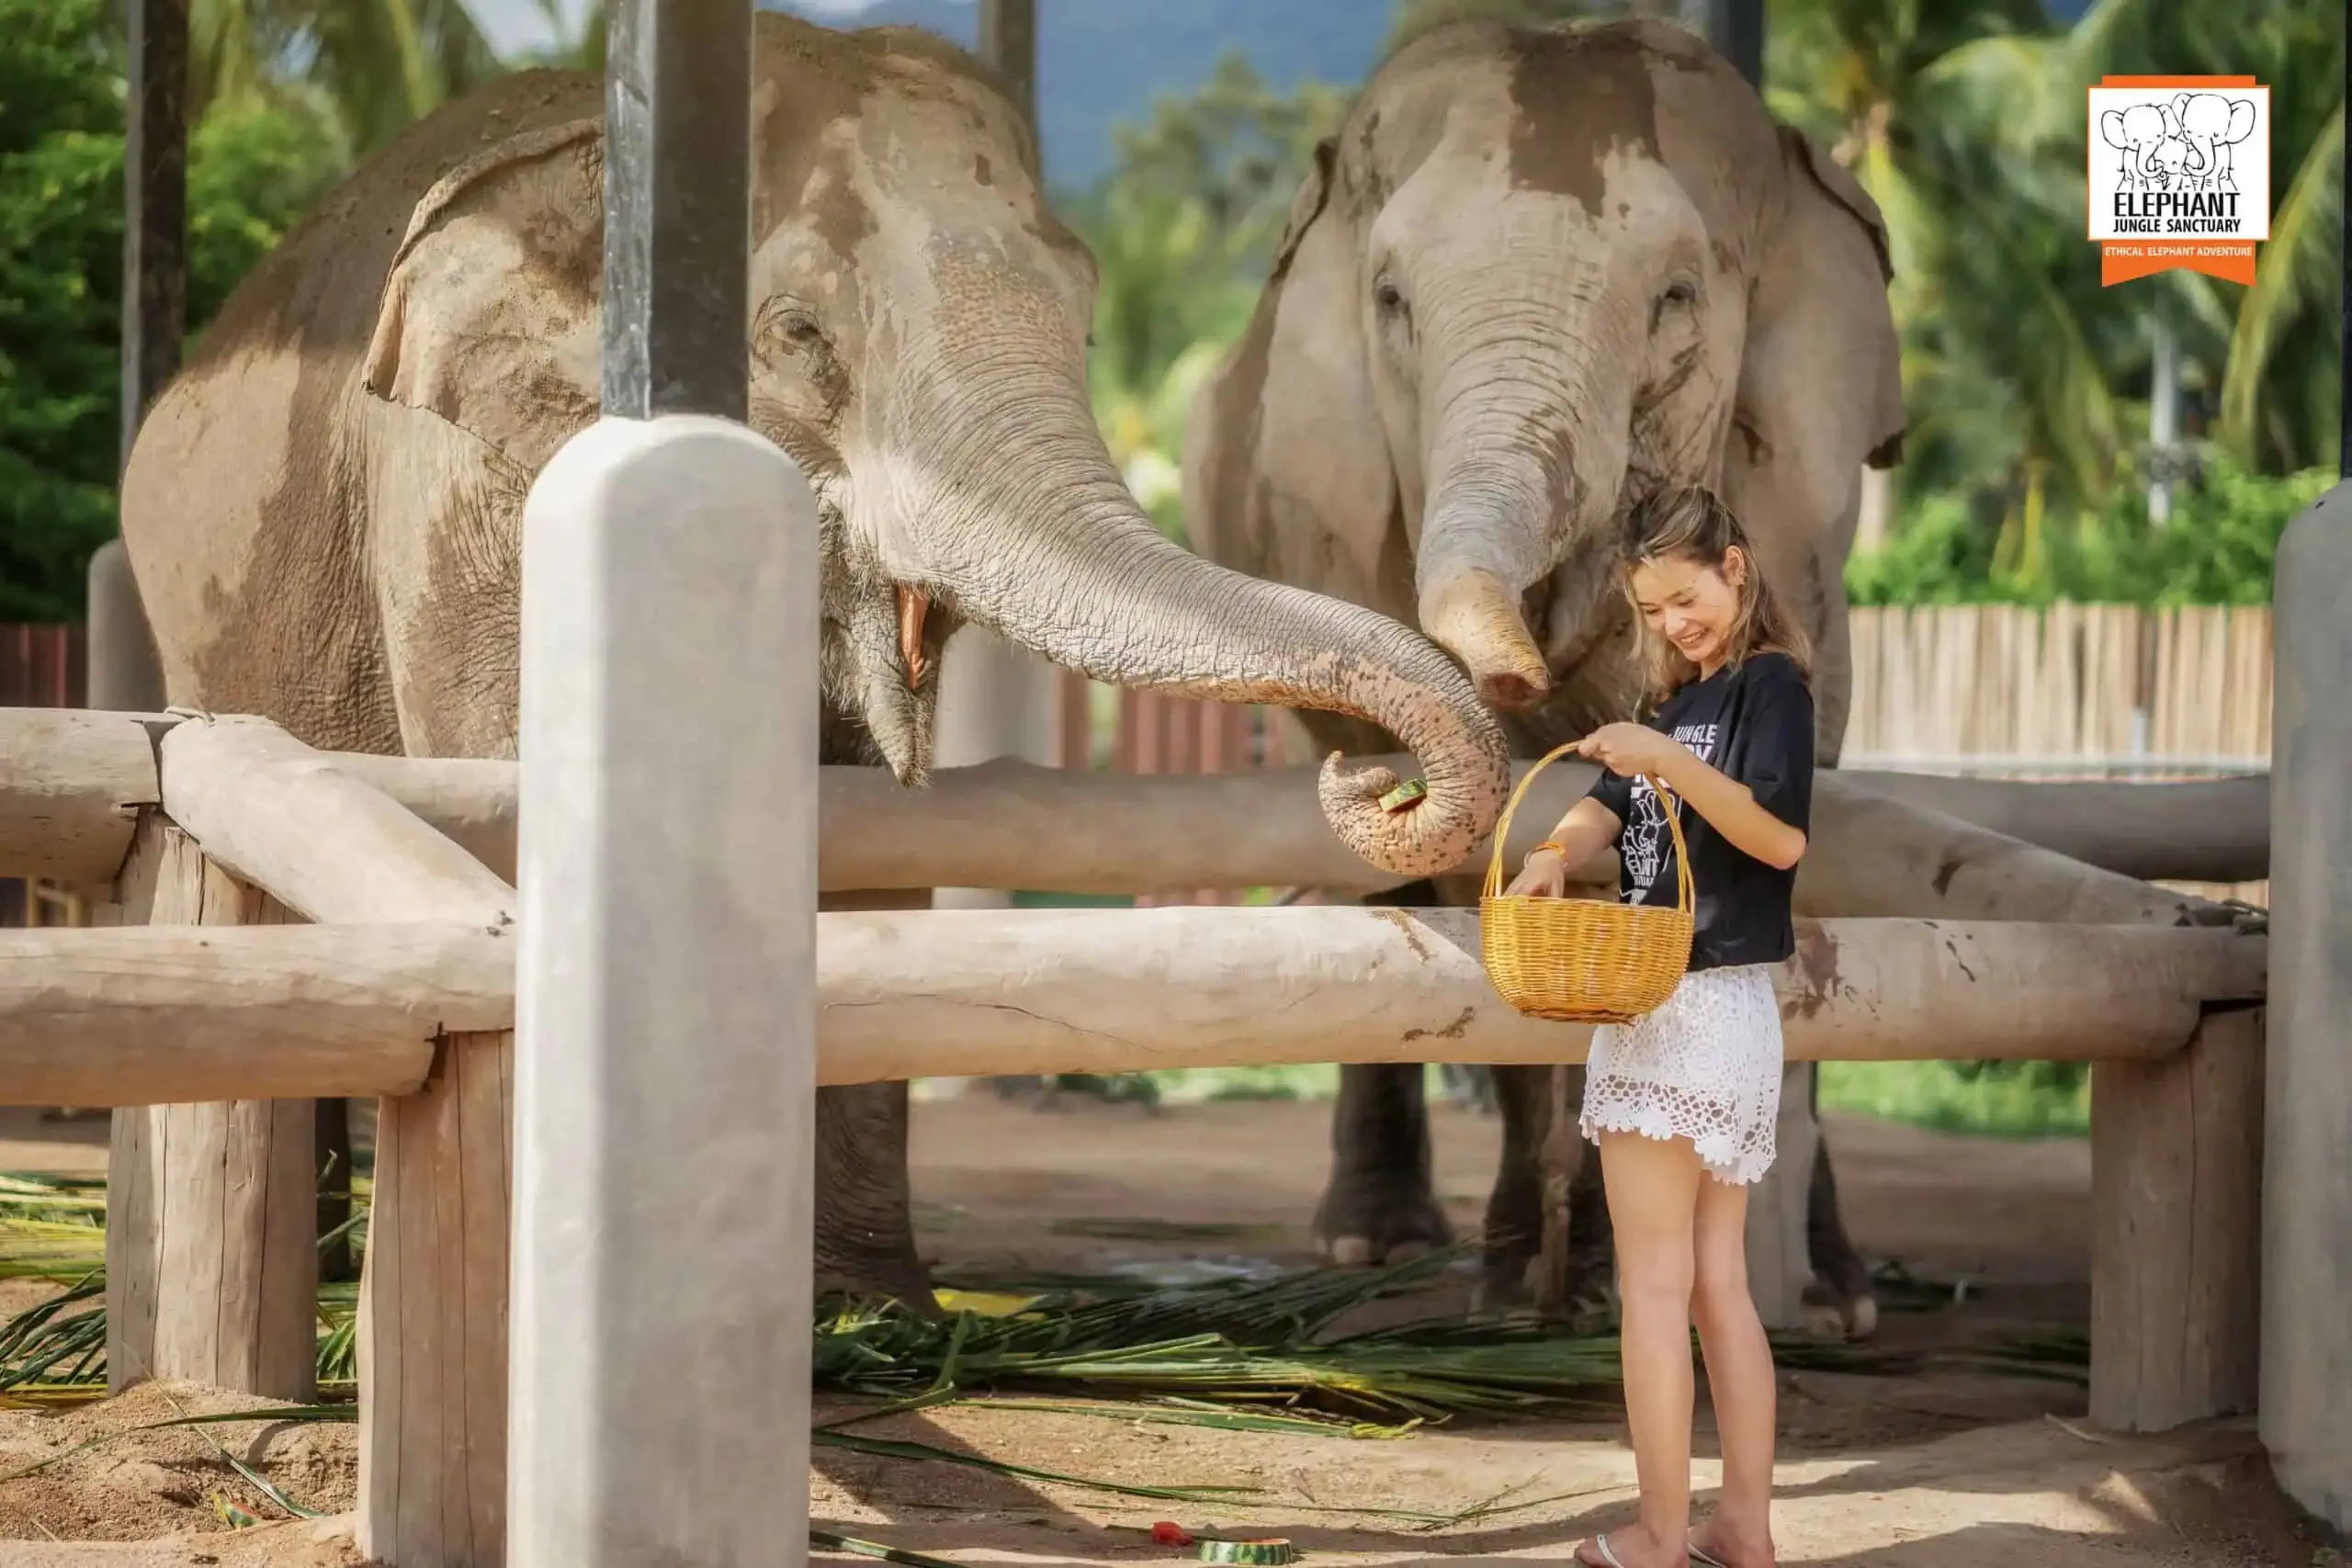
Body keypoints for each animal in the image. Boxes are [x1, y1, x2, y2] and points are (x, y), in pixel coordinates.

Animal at [119, 14, 1512, 1308]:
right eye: (796, 333)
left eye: (1087, 318)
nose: (1374, 780)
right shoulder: (461, 496)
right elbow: (511, 793)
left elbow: (866, 850)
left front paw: (866, 1311)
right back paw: (323, 1264)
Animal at [1181, 18, 1905, 1330]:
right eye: (1391, 301)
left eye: (1675, 300)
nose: (1519, 681)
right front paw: (1528, 1285)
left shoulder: (1806, 519)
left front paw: (1817, 1300)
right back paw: (1378, 1242)